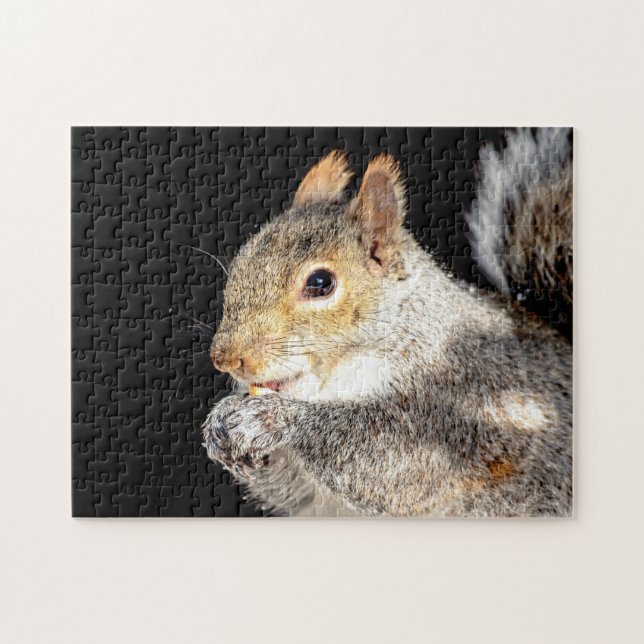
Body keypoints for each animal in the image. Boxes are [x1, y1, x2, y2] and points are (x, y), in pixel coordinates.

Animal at [202, 128, 573, 517]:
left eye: (320, 283)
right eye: (240, 263)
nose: (225, 358)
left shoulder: (454, 409)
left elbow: (391, 464)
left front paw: (271, 419)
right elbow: (290, 488)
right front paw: (220, 424)